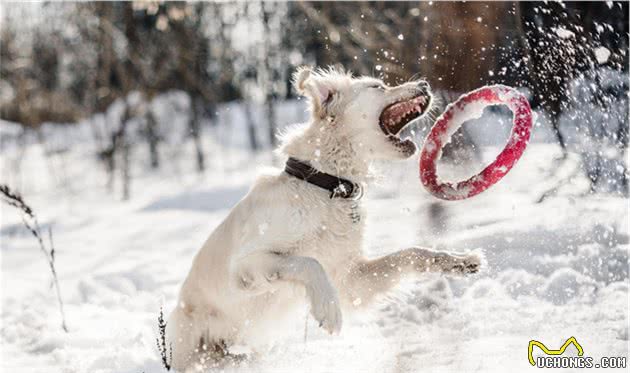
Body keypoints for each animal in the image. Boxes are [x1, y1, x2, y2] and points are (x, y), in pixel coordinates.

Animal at [165, 66, 482, 370]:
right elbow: (307, 262)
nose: (426, 84)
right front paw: (328, 309)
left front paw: (459, 260)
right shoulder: (244, 266)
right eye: (377, 86)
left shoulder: (351, 278)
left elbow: (411, 253)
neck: (325, 185)